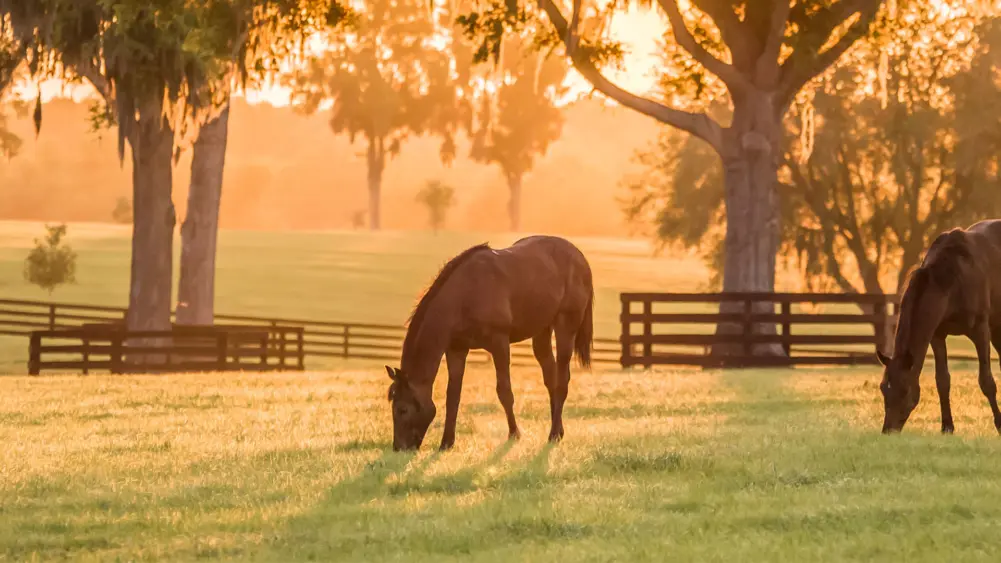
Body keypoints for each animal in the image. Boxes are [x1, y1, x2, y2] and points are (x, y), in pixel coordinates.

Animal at [384, 235, 594, 451]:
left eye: (402, 409)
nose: (399, 447)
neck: (465, 294)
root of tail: (579, 258)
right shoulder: (456, 350)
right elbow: (453, 396)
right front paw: (446, 442)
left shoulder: (499, 343)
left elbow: (504, 391)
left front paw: (514, 434)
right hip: (542, 331)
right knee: (551, 378)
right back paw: (558, 431)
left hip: (565, 327)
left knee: (562, 380)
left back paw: (552, 435)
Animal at [877, 220, 1001, 434]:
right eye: (883, 387)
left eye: (904, 390)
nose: (888, 431)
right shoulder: (937, 335)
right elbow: (942, 380)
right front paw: (947, 427)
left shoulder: (981, 331)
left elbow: (986, 381)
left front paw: (1000, 425)